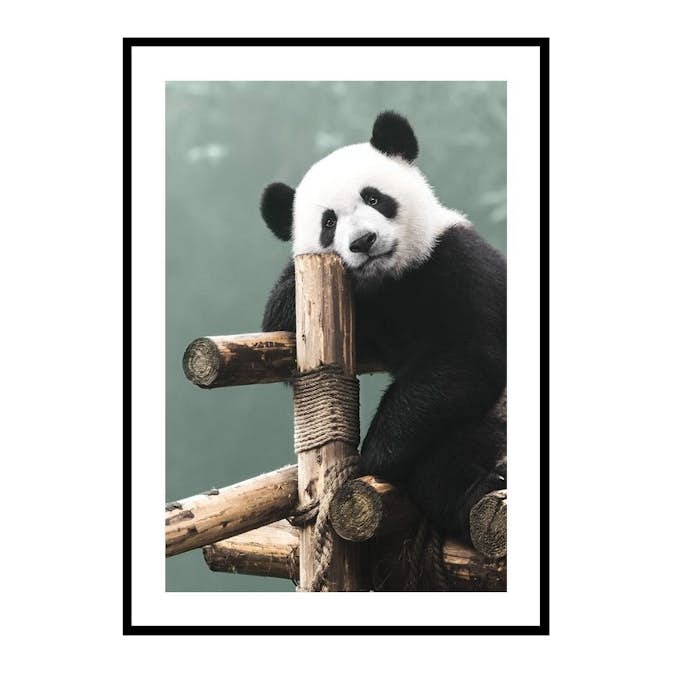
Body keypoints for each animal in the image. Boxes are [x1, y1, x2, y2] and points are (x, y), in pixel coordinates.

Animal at [260, 111, 506, 543]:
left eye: (374, 198)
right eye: (328, 222)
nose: (362, 241)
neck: (394, 278)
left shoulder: (461, 262)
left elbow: (467, 356)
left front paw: (373, 455)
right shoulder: (368, 310)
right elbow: (278, 323)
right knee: (444, 467)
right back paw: (480, 489)